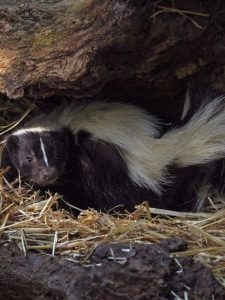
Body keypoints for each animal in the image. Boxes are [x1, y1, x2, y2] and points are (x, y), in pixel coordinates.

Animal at [1, 95, 225, 212]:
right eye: (28, 159)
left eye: (57, 155)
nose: (48, 174)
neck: (62, 124)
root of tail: (163, 150)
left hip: (108, 168)